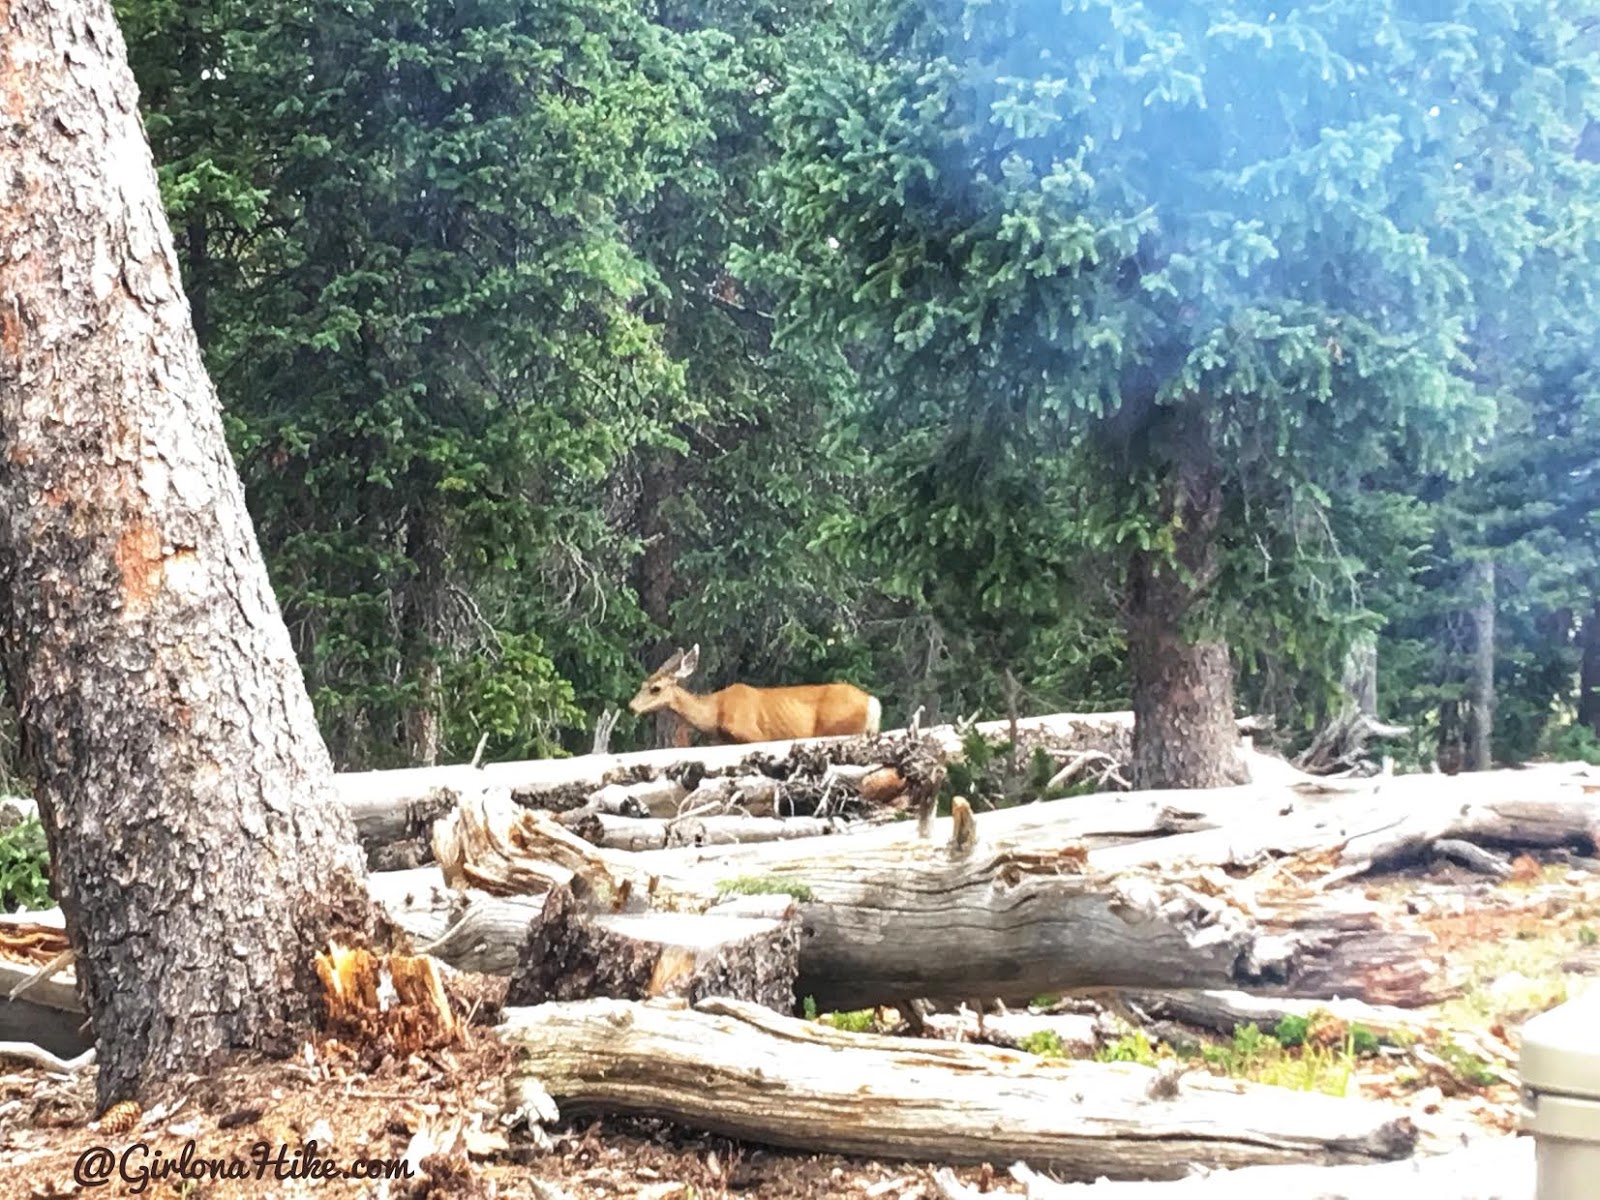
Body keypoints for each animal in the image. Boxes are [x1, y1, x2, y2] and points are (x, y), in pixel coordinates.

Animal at [627, 643, 883, 748]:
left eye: (656, 688)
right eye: (643, 684)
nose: (631, 706)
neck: (715, 713)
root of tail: (872, 702)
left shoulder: (754, 734)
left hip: (840, 728)